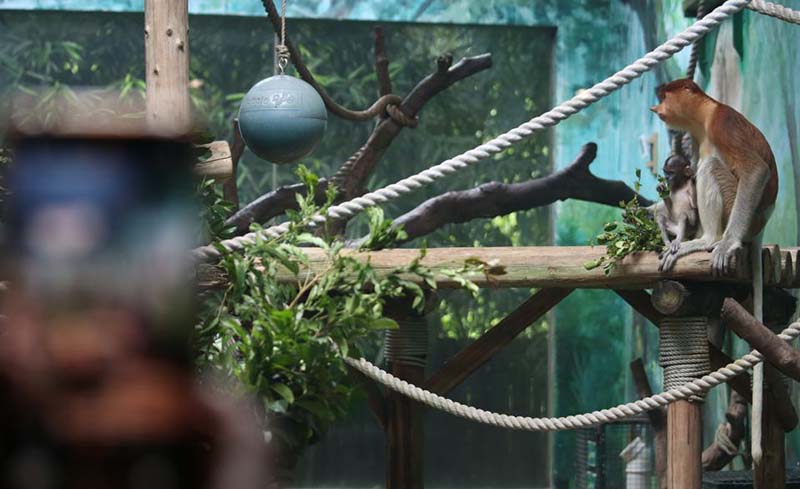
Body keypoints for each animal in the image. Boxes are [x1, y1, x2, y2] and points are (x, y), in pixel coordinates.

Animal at [650, 78, 779, 466]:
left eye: (664, 94)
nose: (656, 107)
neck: (705, 118)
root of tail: (759, 227)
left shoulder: (723, 125)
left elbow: (754, 169)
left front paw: (722, 245)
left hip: (738, 204)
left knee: (710, 168)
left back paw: (709, 242)